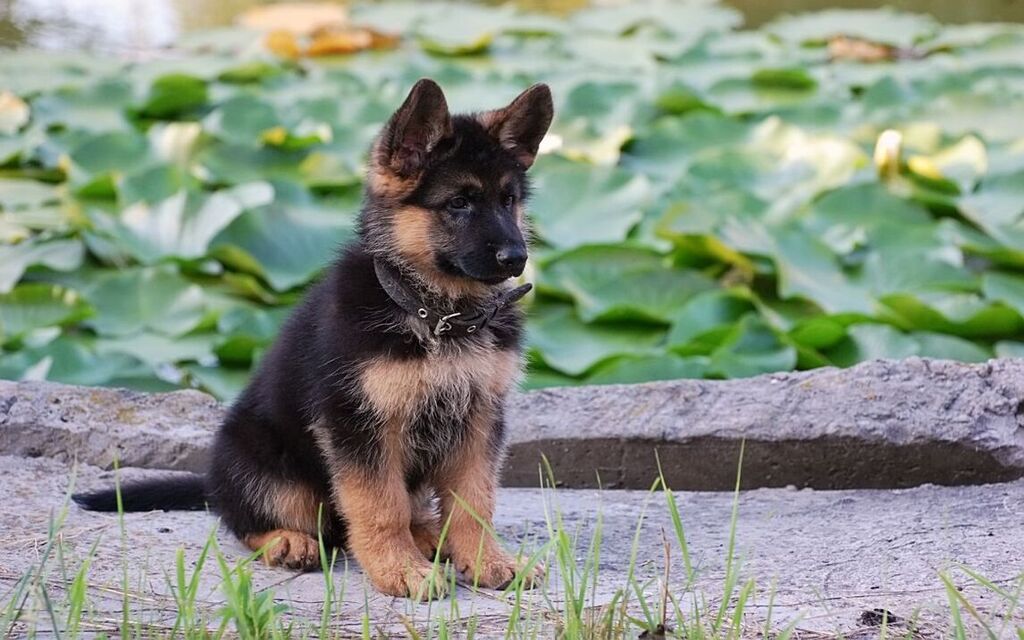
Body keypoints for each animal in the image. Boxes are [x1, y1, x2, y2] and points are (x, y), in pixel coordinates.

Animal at [74, 79, 552, 598]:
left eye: (508, 200)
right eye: (459, 203)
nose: (516, 258)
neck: (438, 313)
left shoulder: (481, 418)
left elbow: (473, 502)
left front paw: (487, 560)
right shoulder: (358, 423)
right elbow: (379, 506)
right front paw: (400, 569)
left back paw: (428, 534)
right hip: (265, 465)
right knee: (250, 519)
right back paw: (288, 541)